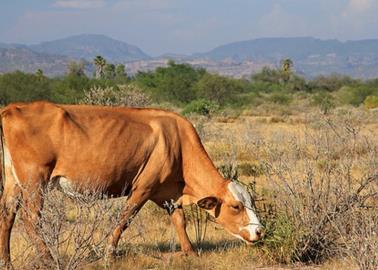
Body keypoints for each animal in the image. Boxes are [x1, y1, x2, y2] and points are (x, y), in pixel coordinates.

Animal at [0, 101, 262, 268]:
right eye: (236, 206)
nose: (259, 231)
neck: (177, 142)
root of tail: (12, 108)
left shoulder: (166, 193)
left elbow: (180, 220)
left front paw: (190, 252)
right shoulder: (143, 188)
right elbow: (124, 219)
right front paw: (109, 255)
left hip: (13, 180)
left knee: (7, 214)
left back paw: (6, 261)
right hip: (34, 180)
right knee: (31, 219)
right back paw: (48, 260)